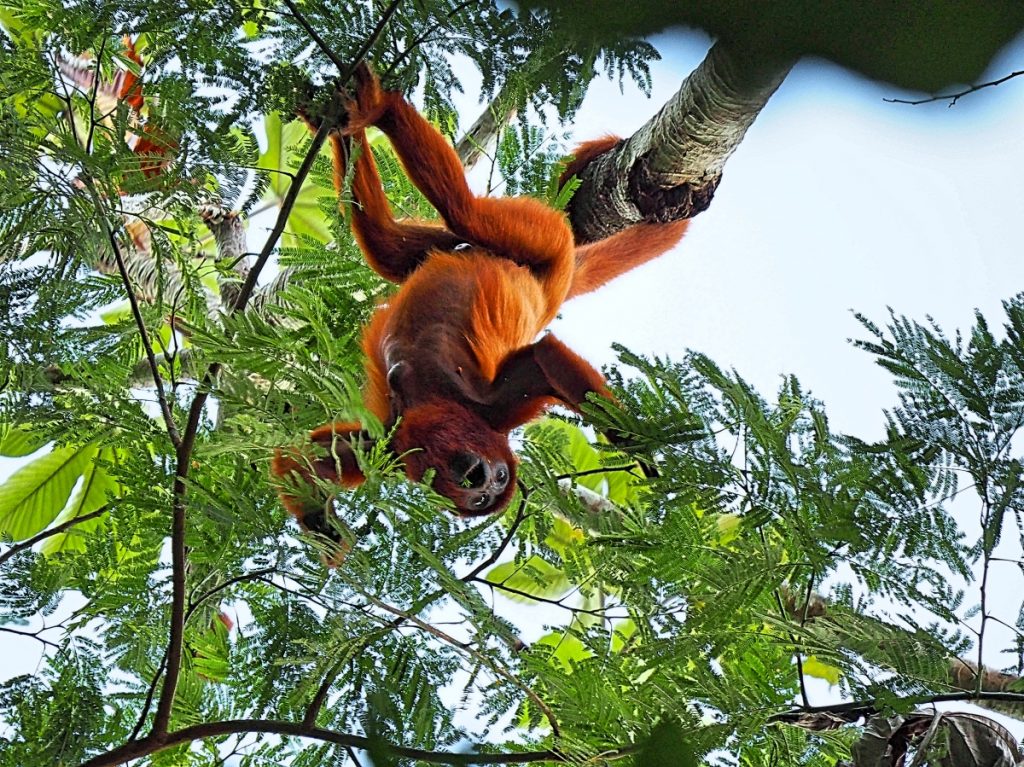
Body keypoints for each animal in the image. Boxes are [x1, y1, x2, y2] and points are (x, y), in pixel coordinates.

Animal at [272, 66, 688, 544]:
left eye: (489, 493)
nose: (484, 479)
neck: (432, 407)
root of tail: (554, 289)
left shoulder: (476, 414)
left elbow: (542, 356)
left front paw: (637, 444)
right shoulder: (399, 441)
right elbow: (296, 456)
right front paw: (321, 525)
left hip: (542, 247)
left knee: (441, 221)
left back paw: (369, 112)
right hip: (504, 242)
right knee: (414, 237)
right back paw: (368, 110)